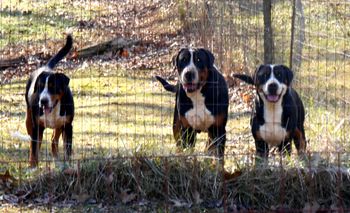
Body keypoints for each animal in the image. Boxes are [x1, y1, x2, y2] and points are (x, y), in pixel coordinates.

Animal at [25, 35, 74, 168]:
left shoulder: (68, 125)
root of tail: (46, 66)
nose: (43, 101)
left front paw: (68, 165)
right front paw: (32, 167)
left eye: (53, 86)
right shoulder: (37, 126)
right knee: (34, 142)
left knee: (53, 140)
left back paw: (56, 158)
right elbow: (34, 149)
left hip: (59, 125)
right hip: (29, 121)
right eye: (40, 87)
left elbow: (68, 150)